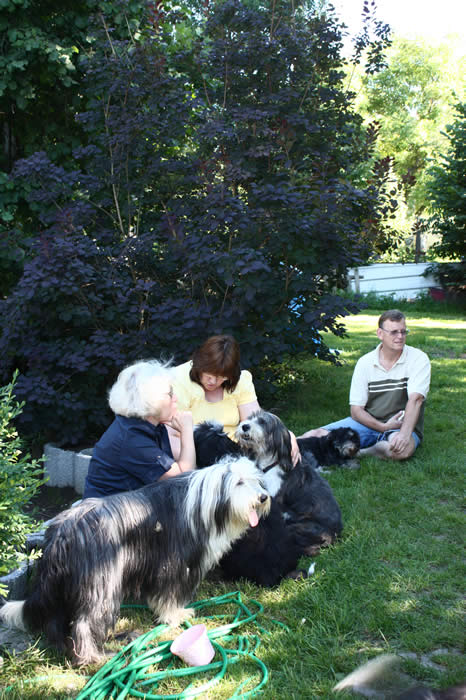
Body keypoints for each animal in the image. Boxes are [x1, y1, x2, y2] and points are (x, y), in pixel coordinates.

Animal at [0, 457, 270, 665]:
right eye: (239, 482)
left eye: (256, 479)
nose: (264, 497)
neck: (205, 504)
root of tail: (63, 531)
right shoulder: (173, 562)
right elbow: (170, 594)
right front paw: (175, 616)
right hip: (101, 582)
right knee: (85, 623)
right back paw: (93, 658)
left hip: (63, 584)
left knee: (56, 618)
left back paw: (61, 648)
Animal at [194, 411, 343, 586]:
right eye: (250, 418)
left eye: (263, 422)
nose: (245, 426)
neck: (267, 466)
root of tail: (336, 536)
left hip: (295, 527)